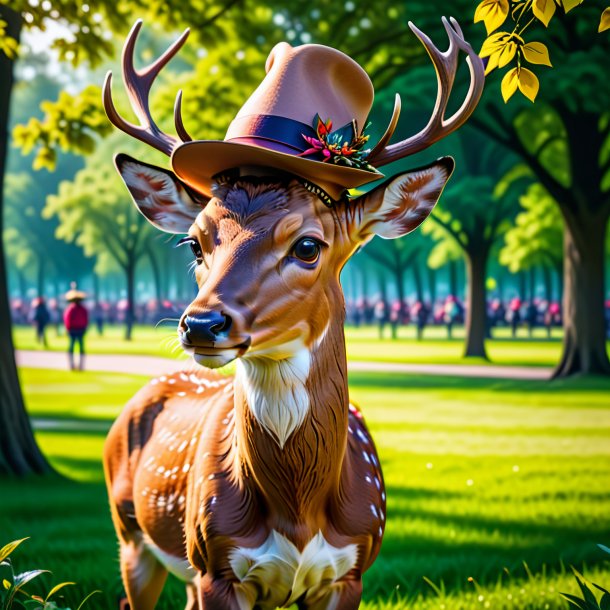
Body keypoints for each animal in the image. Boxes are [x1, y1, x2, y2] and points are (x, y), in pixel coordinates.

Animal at [102, 17, 480, 608]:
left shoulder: (353, 569)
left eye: (307, 246)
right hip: (132, 534)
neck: (300, 512)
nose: (201, 324)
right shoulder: (216, 565)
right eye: (194, 242)